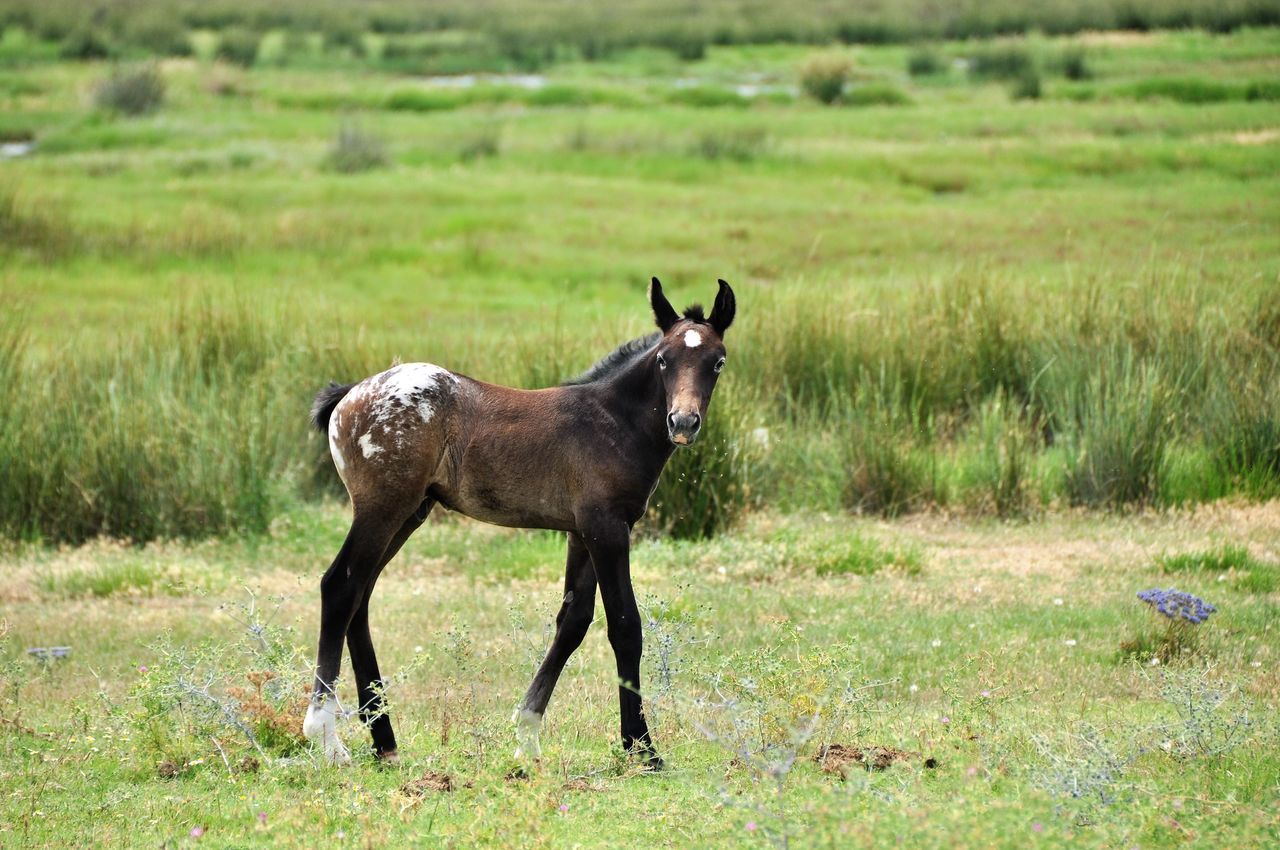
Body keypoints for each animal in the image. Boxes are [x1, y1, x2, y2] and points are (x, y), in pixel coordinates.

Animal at [303, 277, 737, 762]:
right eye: (664, 359)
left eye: (717, 362)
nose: (682, 422)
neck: (612, 422)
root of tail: (350, 393)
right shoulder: (607, 528)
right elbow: (625, 624)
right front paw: (641, 747)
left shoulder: (581, 532)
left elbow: (573, 622)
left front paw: (527, 734)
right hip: (382, 507)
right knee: (340, 586)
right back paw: (326, 736)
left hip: (409, 513)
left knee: (361, 596)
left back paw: (384, 740)